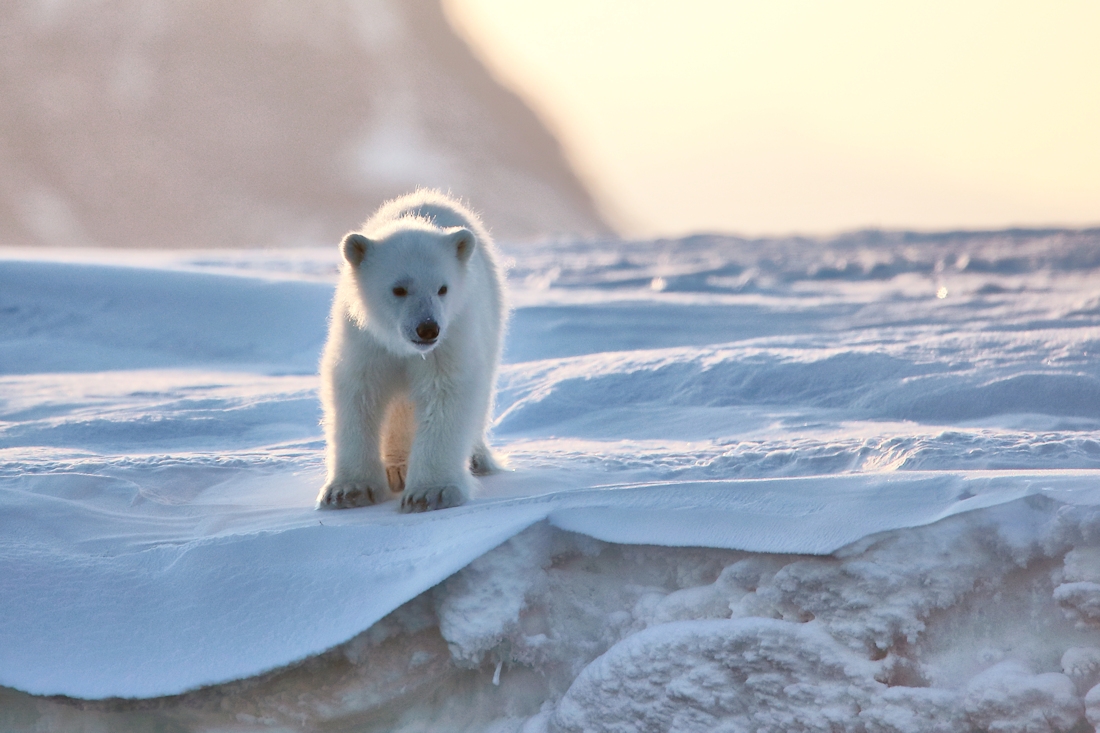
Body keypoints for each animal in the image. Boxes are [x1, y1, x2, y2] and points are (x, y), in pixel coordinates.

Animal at [317, 190, 506, 512]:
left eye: (442, 288)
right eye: (399, 289)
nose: (427, 329)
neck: (401, 346)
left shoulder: (450, 341)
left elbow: (446, 394)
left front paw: (431, 492)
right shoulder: (366, 342)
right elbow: (358, 394)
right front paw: (348, 491)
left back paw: (477, 459)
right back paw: (396, 468)